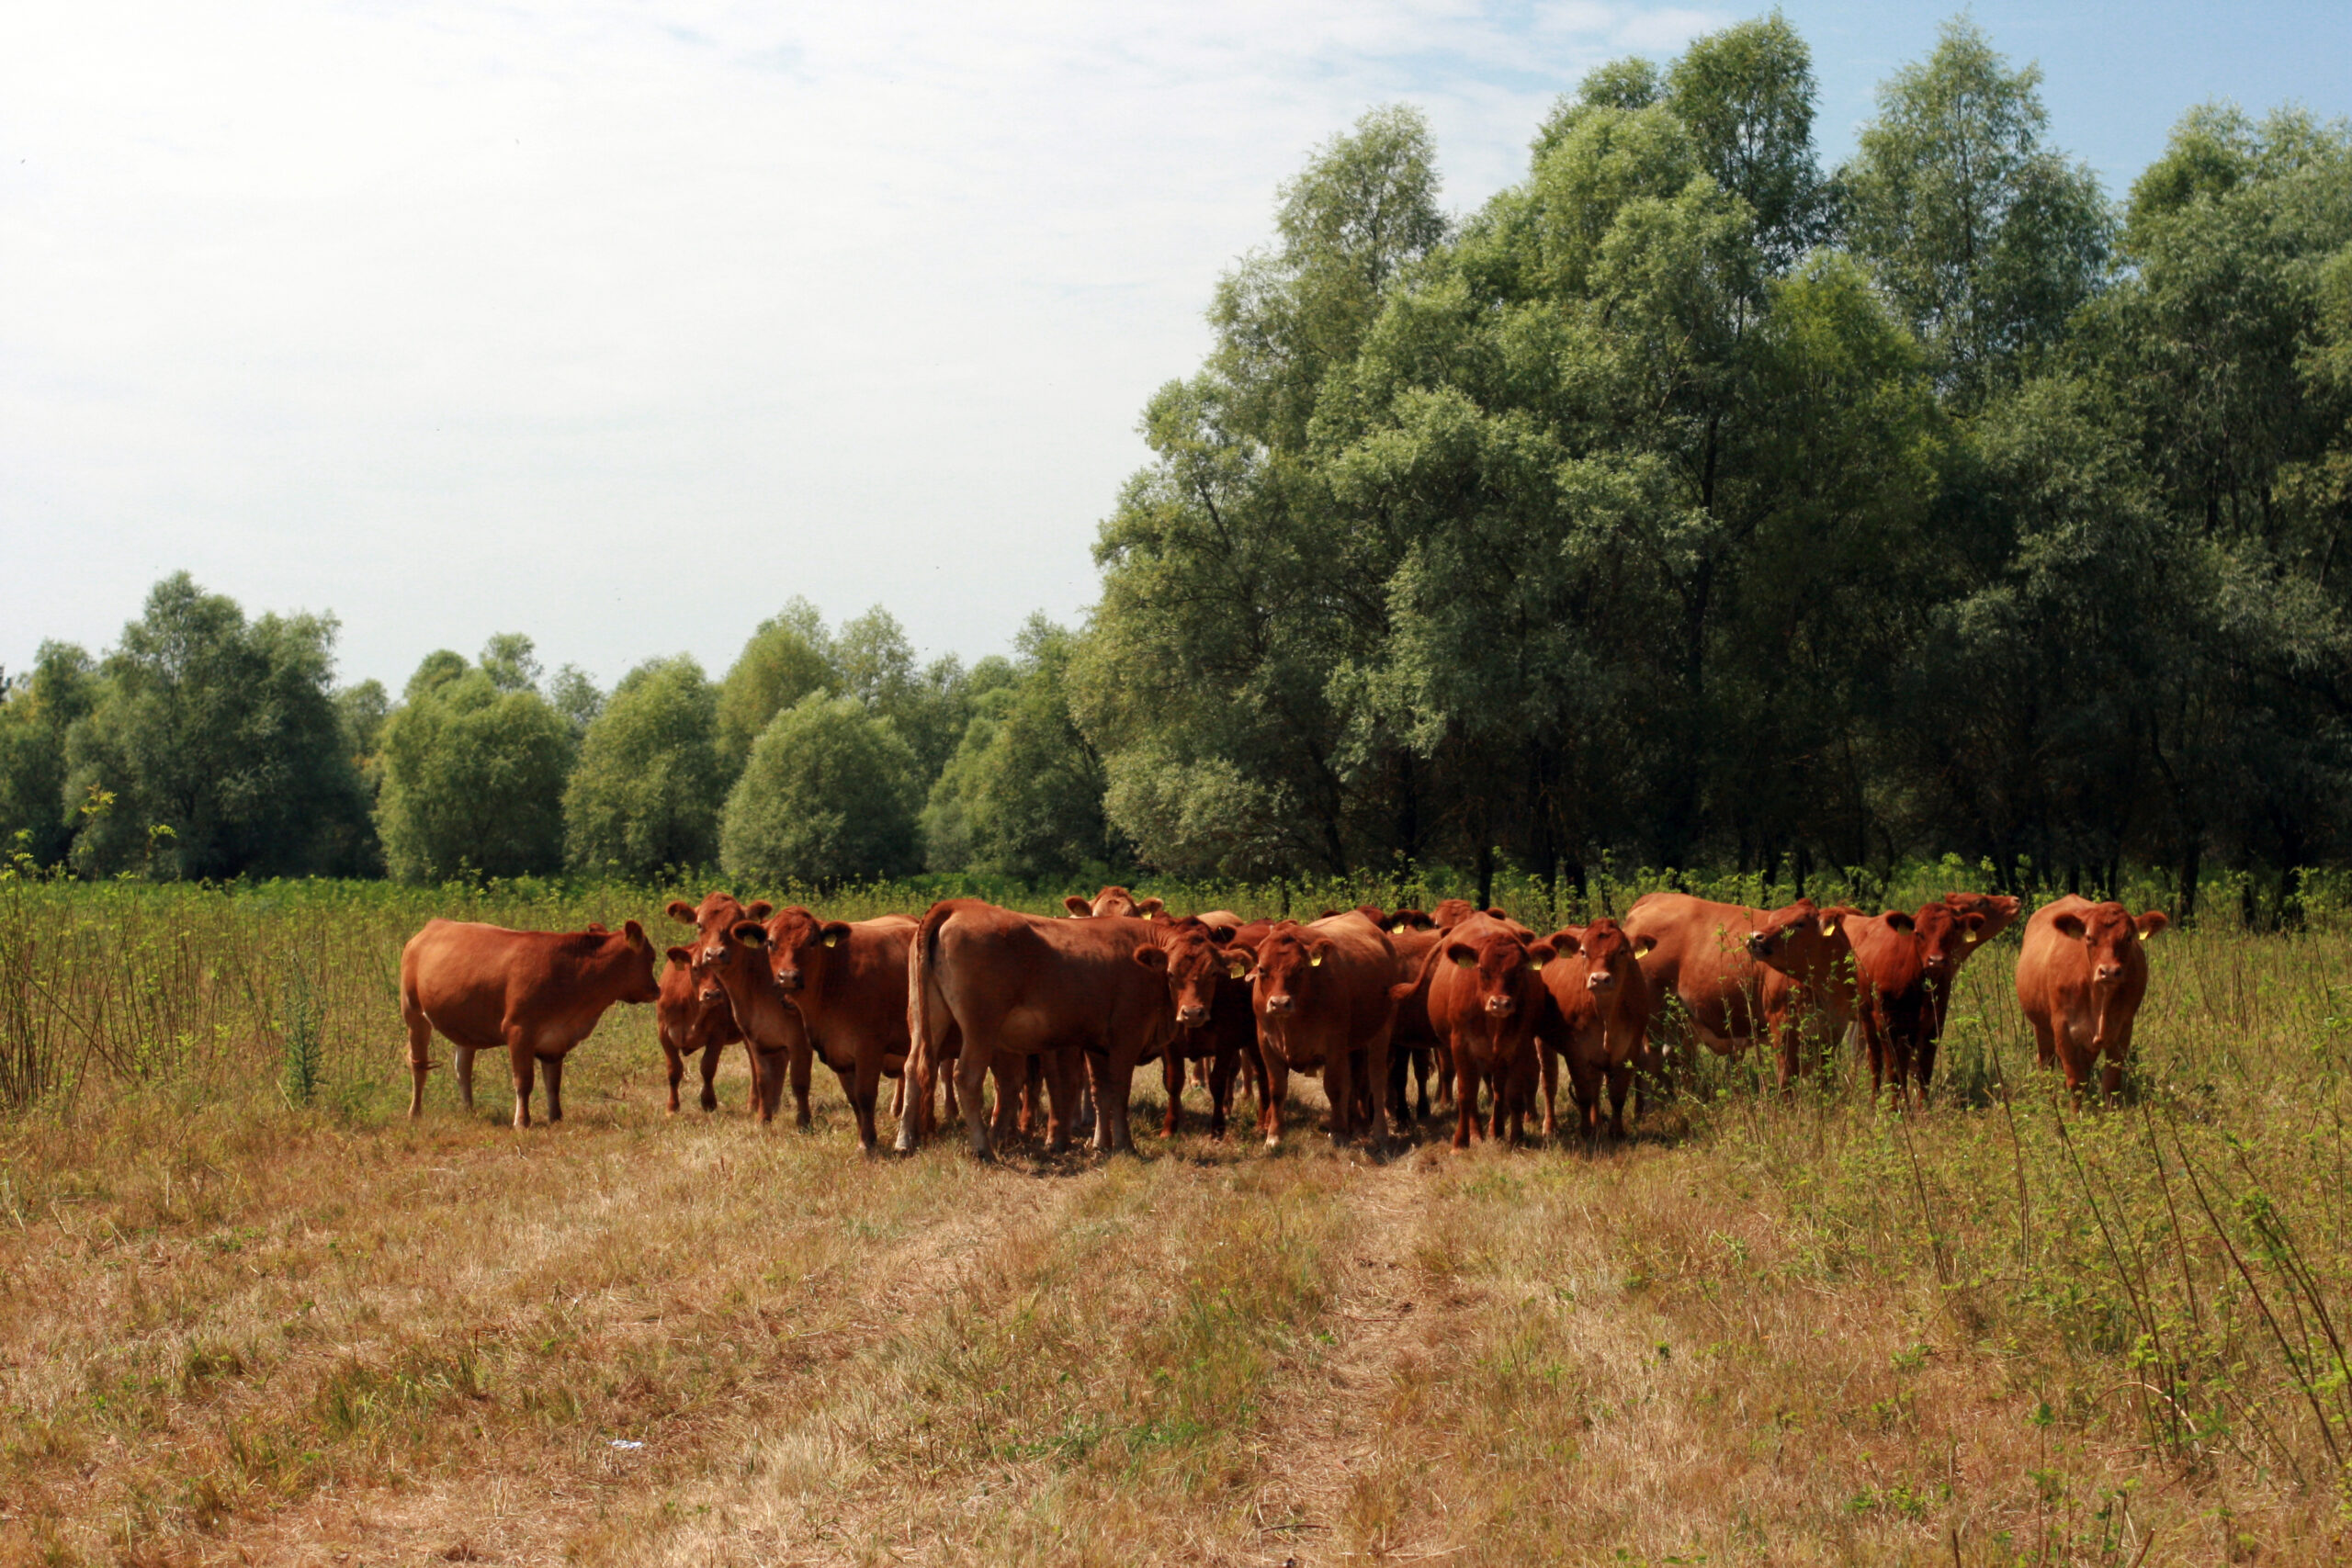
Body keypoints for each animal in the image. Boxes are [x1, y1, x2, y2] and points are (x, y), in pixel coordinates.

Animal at [401, 921, 662, 1128]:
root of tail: (433, 925)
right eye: (652, 957)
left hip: (465, 1024)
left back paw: (469, 1111)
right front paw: (522, 1121)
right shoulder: (519, 1031)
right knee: (419, 1067)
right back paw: (414, 1113)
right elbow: (524, 1081)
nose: (657, 990)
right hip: (414, 1014)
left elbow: (553, 1083)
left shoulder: (556, 1039)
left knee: (462, 1069)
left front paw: (556, 1117)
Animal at [1223, 911, 1383, 1146]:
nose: (1280, 1003)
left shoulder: (1334, 1047)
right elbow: (1277, 1090)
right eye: (1262, 969)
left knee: (1359, 1082)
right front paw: (1274, 1136)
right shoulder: (1266, 1045)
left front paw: (1338, 1133)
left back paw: (1359, 1126)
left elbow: (1334, 1088)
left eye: (1300, 968)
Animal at [1411, 911, 1561, 1146]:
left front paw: (1516, 1137)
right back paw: (1476, 1133)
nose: (1499, 1003)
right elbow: (1466, 1093)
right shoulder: (1461, 1045)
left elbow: (1513, 1093)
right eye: (1481, 969)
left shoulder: (1518, 1046)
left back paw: (1495, 1130)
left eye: (1520, 970)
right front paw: (1461, 1142)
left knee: (1498, 1089)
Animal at [1543, 921, 1656, 1142]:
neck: (1605, 1012)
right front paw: (1586, 1132)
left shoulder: (1630, 1048)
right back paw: (1550, 1127)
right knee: (1549, 1081)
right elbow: (1583, 1094)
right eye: (1583, 952)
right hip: (1542, 1041)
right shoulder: (1575, 1052)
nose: (1600, 979)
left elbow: (1617, 1094)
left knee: (1594, 1082)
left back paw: (1597, 1124)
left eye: (1622, 951)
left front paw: (1616, 1132)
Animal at [2022, 893, 2164, 1104]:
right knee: (2046, 1062)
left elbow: (2111, 1081)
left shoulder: (2123, 1028)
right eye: (2089, 938)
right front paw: (2077, 1113)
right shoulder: (2062, 1027)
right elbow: (2074, 1082)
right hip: (2041, 1025)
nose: (2109, 971)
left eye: (2128, 938)